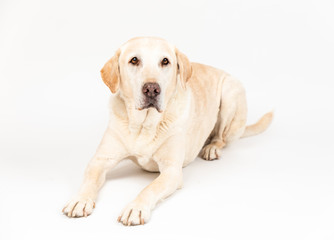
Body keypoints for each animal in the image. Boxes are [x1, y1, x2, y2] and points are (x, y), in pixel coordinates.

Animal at [61, 36, 272, 226]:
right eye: (134, 60)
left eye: (165, 61)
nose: (152, 89)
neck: (144, 125)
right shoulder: (100, 160)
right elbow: (89, 180)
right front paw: (80, 200)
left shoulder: (171, 171)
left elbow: (150, 188)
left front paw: (136, 208)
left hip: (230, 93)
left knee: (221, 137)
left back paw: (212, 147)